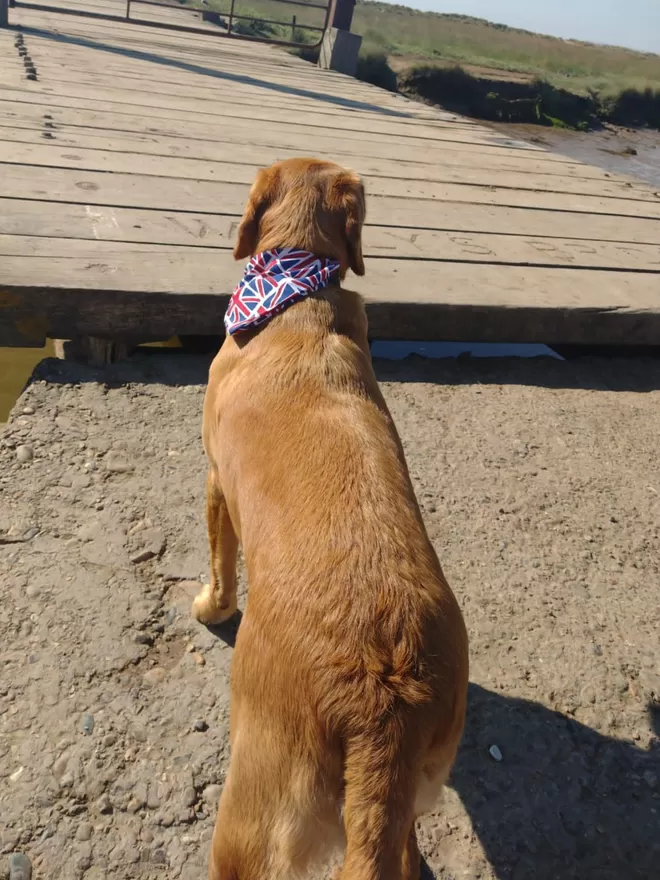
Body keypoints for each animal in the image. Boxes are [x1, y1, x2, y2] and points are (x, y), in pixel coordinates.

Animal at [193, 158, 466, 880]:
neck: (295, 286)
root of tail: (383, 702)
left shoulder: (215, 480)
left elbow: (220, 561)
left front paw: (211, 606)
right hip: (412, 795)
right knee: (404, 853)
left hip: (251, 817)